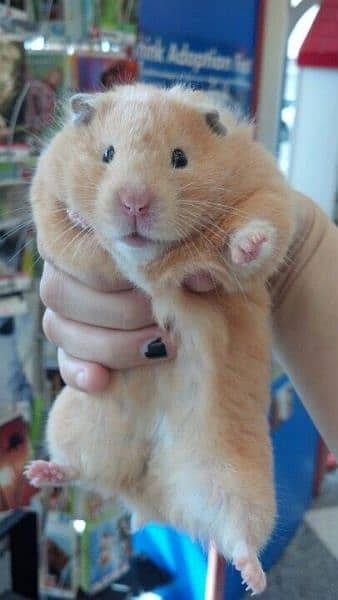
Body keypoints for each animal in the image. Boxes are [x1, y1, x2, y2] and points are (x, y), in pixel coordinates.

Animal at [25, 84, 294, 596]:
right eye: (107, 154)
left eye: (180, 158)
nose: (134, 202)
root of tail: (146, 496)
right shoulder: (45, 196)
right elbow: (69, 230)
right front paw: (80, 218)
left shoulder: (268, 195)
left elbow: (253, 240)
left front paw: (243, 243)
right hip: (72, 424)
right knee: (82, 472)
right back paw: (38, 472)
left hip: (239, 483)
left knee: (238, 535)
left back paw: (255, 578)